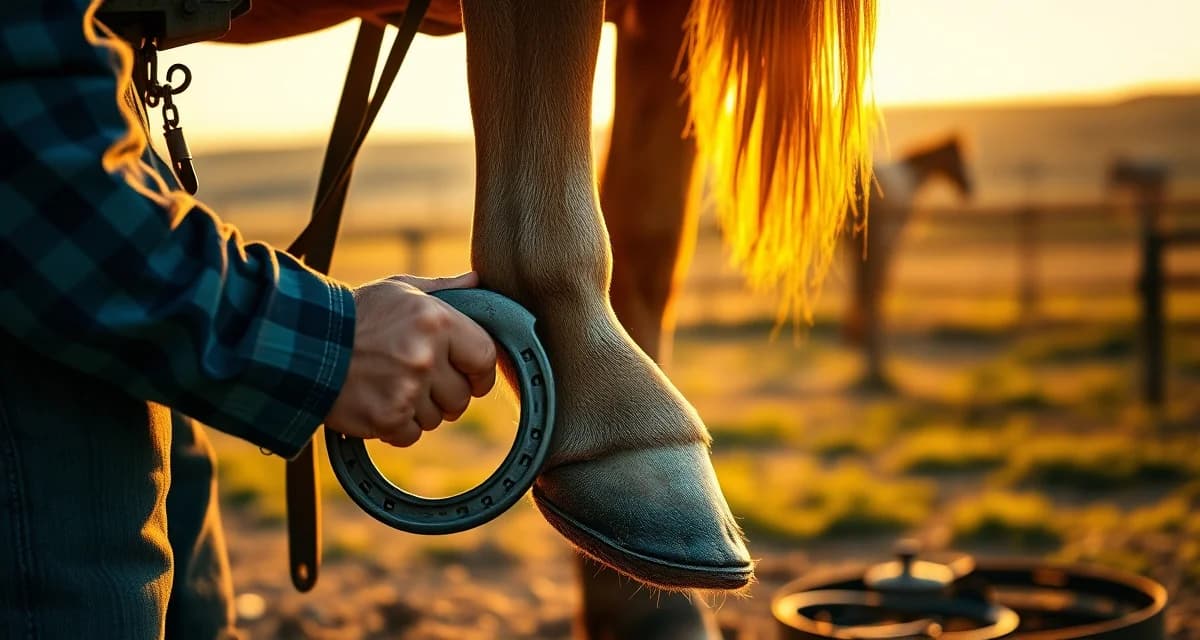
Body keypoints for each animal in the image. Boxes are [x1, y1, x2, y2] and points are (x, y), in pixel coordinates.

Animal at [841, 135, 972, 390]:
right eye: (958, 157)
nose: (969, 188)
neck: (912, 178)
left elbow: (869, 288)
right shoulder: (889, 242)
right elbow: (879, 287)